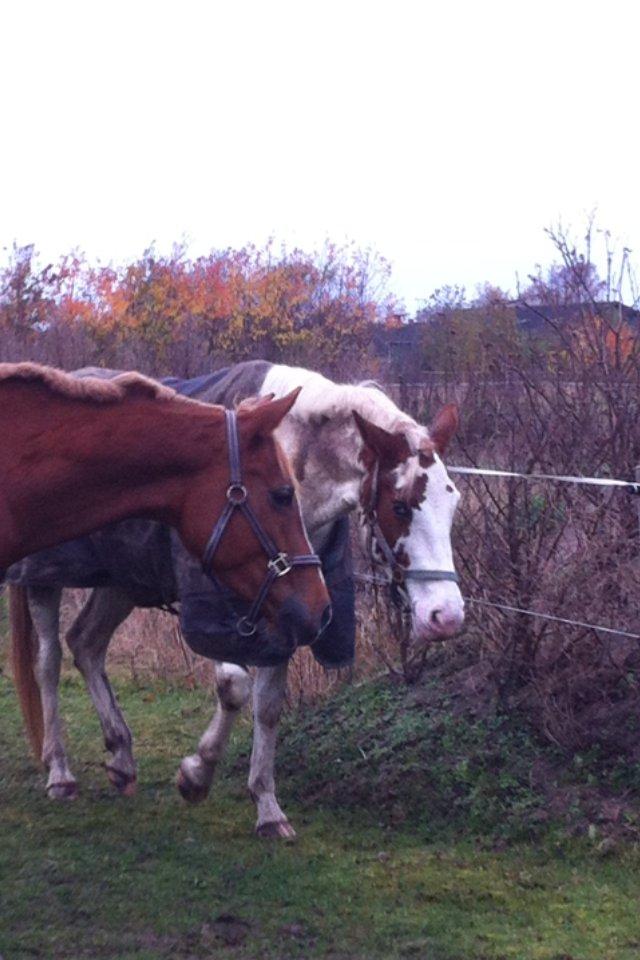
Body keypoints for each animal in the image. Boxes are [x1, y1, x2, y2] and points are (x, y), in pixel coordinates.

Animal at [8, 364, 460, 836]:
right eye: (401, 505)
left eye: (454, 504)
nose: (446, 616)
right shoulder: (219, 604)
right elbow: (234, 686)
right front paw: (196, 774)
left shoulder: (289, 608)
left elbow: (268, 705)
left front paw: (267, 806)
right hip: (44, 579)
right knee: (49, 662)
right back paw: (60, 771)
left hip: (122, 581)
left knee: (87, 644)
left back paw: (121, 757)